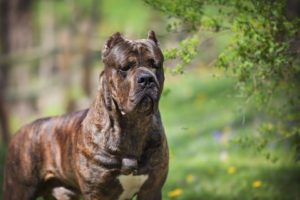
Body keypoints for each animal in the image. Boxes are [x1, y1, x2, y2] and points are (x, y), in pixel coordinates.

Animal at [3, 30, 169, 199]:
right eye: (125, 67)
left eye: (155, 65)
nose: (147, 79)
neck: (133, 124)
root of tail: (20, 132)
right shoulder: (96, 192)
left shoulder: (151, 189)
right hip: (18, 189)